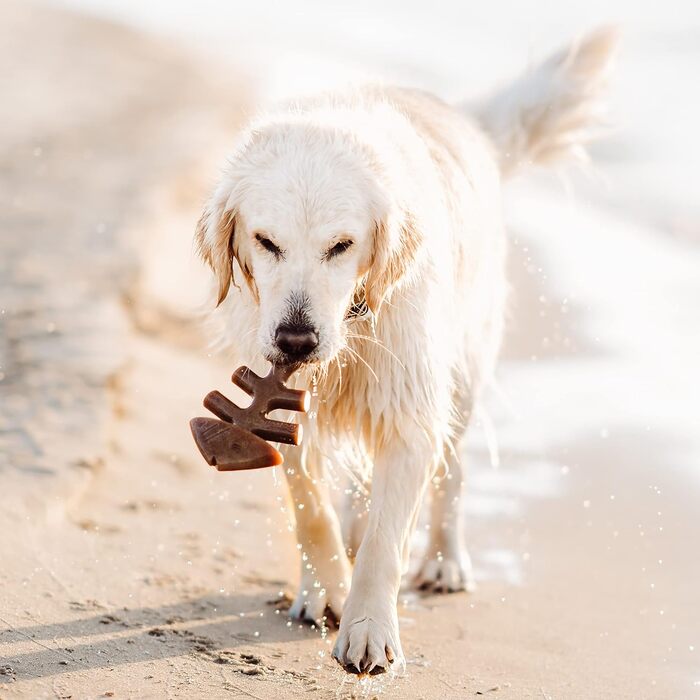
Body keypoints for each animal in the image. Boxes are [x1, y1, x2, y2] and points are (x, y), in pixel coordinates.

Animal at [194, 30, 616, 676]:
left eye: (341, 246)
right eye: (267, 242)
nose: (296, 341)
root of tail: (466, 121)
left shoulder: (409, 410)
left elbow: (388, 539)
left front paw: (368, 629)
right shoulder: (283, 414)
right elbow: (309, 508)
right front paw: (327, 590)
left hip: (462, 373)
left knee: (454, 471)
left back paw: (444, 561)